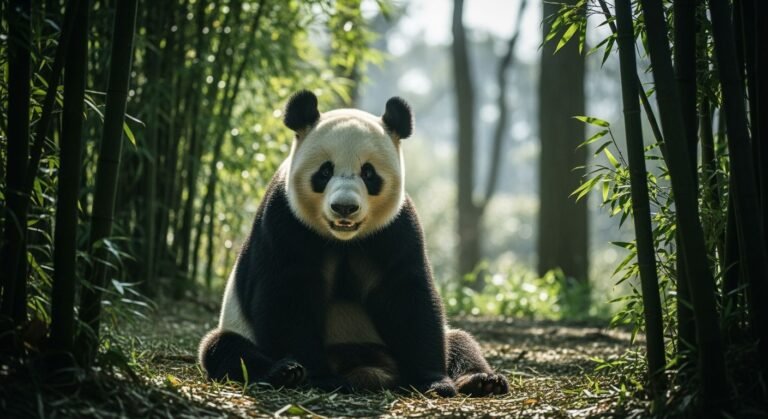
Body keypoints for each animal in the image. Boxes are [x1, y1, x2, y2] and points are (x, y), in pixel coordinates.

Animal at [198, 90, 509, 397]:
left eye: (368, 173)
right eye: (324, 172)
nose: (344, 207)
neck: (343, 239)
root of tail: (367, 368)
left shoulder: (395, 228)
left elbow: (408, 296)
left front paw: (433, 381)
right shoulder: (284, 221)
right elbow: (286, 295)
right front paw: (317, 376)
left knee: (460, 341)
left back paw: (482, 380)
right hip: (237, 328)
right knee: (223, 348)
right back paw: (284, 372)